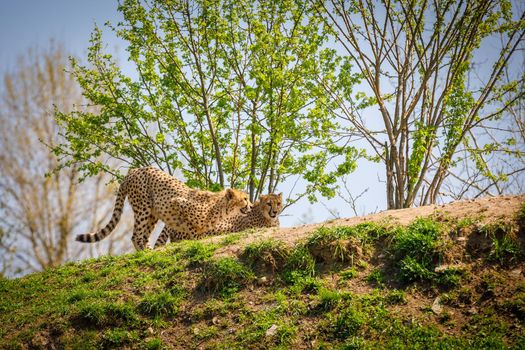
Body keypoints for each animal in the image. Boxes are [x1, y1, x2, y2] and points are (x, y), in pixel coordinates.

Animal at [75, 166, 252, 249]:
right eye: (245, 199)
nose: (251, 206)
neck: (220, 208)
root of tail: (134, 171)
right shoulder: (178, 203)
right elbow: (193, 230)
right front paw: (196, 237)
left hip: (152, 214)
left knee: (144, 235)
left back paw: (150, 250)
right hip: (143, 207)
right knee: (136, 236)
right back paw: (145, 253)